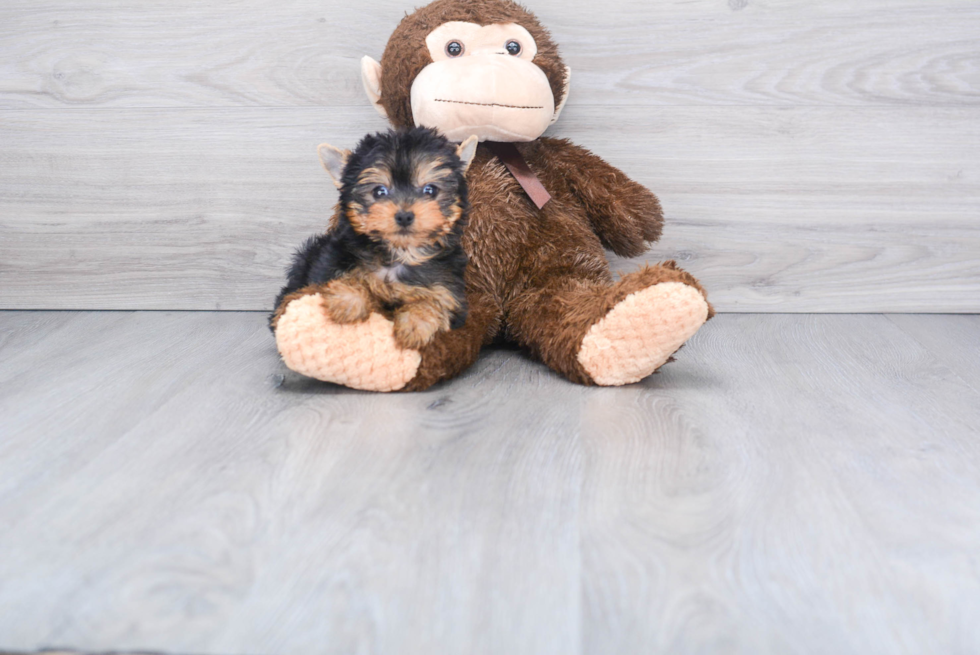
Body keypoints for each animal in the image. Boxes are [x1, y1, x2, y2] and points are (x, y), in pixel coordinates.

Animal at [274, 129, 476, 354]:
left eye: (430, 190)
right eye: (379, 191)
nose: (404, 216)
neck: (399, 253)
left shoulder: (448, 290)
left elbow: (435, 303)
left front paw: (416, 325)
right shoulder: (330, 263)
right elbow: (346, 279)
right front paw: (348, 301)